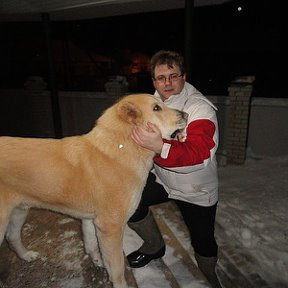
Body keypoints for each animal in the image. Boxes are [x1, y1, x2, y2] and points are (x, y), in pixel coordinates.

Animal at [0, 93, 188, 286]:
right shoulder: (110, 227)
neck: (121, 147)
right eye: (156, 108)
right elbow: (117, 267)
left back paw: (26, 256)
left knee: (12, 237)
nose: (185, 114)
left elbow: (91, 246)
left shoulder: (91, 220)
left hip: (19, 210)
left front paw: (98, 262)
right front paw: (118, 282)